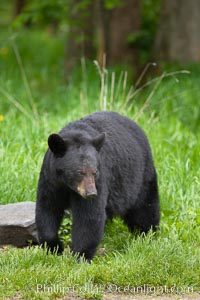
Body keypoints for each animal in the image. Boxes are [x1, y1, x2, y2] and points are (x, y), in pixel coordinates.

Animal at [35, 110, 159, 260]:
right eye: (79, 172)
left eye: (95, 171)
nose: (91, 193)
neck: (67, 185)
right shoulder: (50, 181)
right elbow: (47, 209)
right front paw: (54, 247)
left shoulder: (99, 181)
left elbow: (89, 216)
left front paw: (80, 255)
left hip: (140, 176)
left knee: (145, 206)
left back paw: (146, 234)